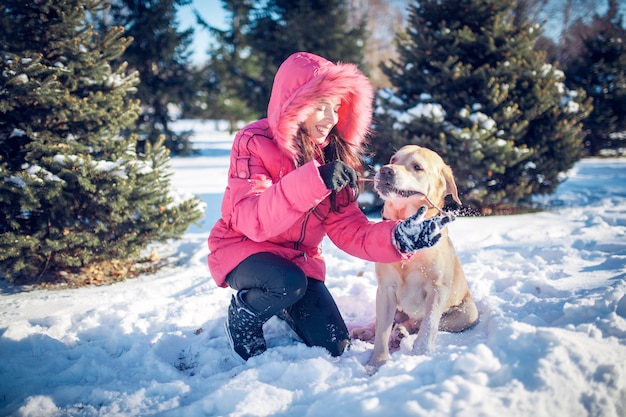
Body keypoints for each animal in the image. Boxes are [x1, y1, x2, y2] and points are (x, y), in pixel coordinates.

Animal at [356, 145, 478, 368]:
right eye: (393, 159)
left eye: (417, 167)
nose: (385, 170)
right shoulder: (385, 290)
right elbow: (382, 331)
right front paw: (377, 362)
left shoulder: (437, 290)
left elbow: (428, 325)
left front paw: (420, 354)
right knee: (384, 323)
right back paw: (369, 331)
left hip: (468, 312)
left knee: (418, 323)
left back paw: (403, 333)